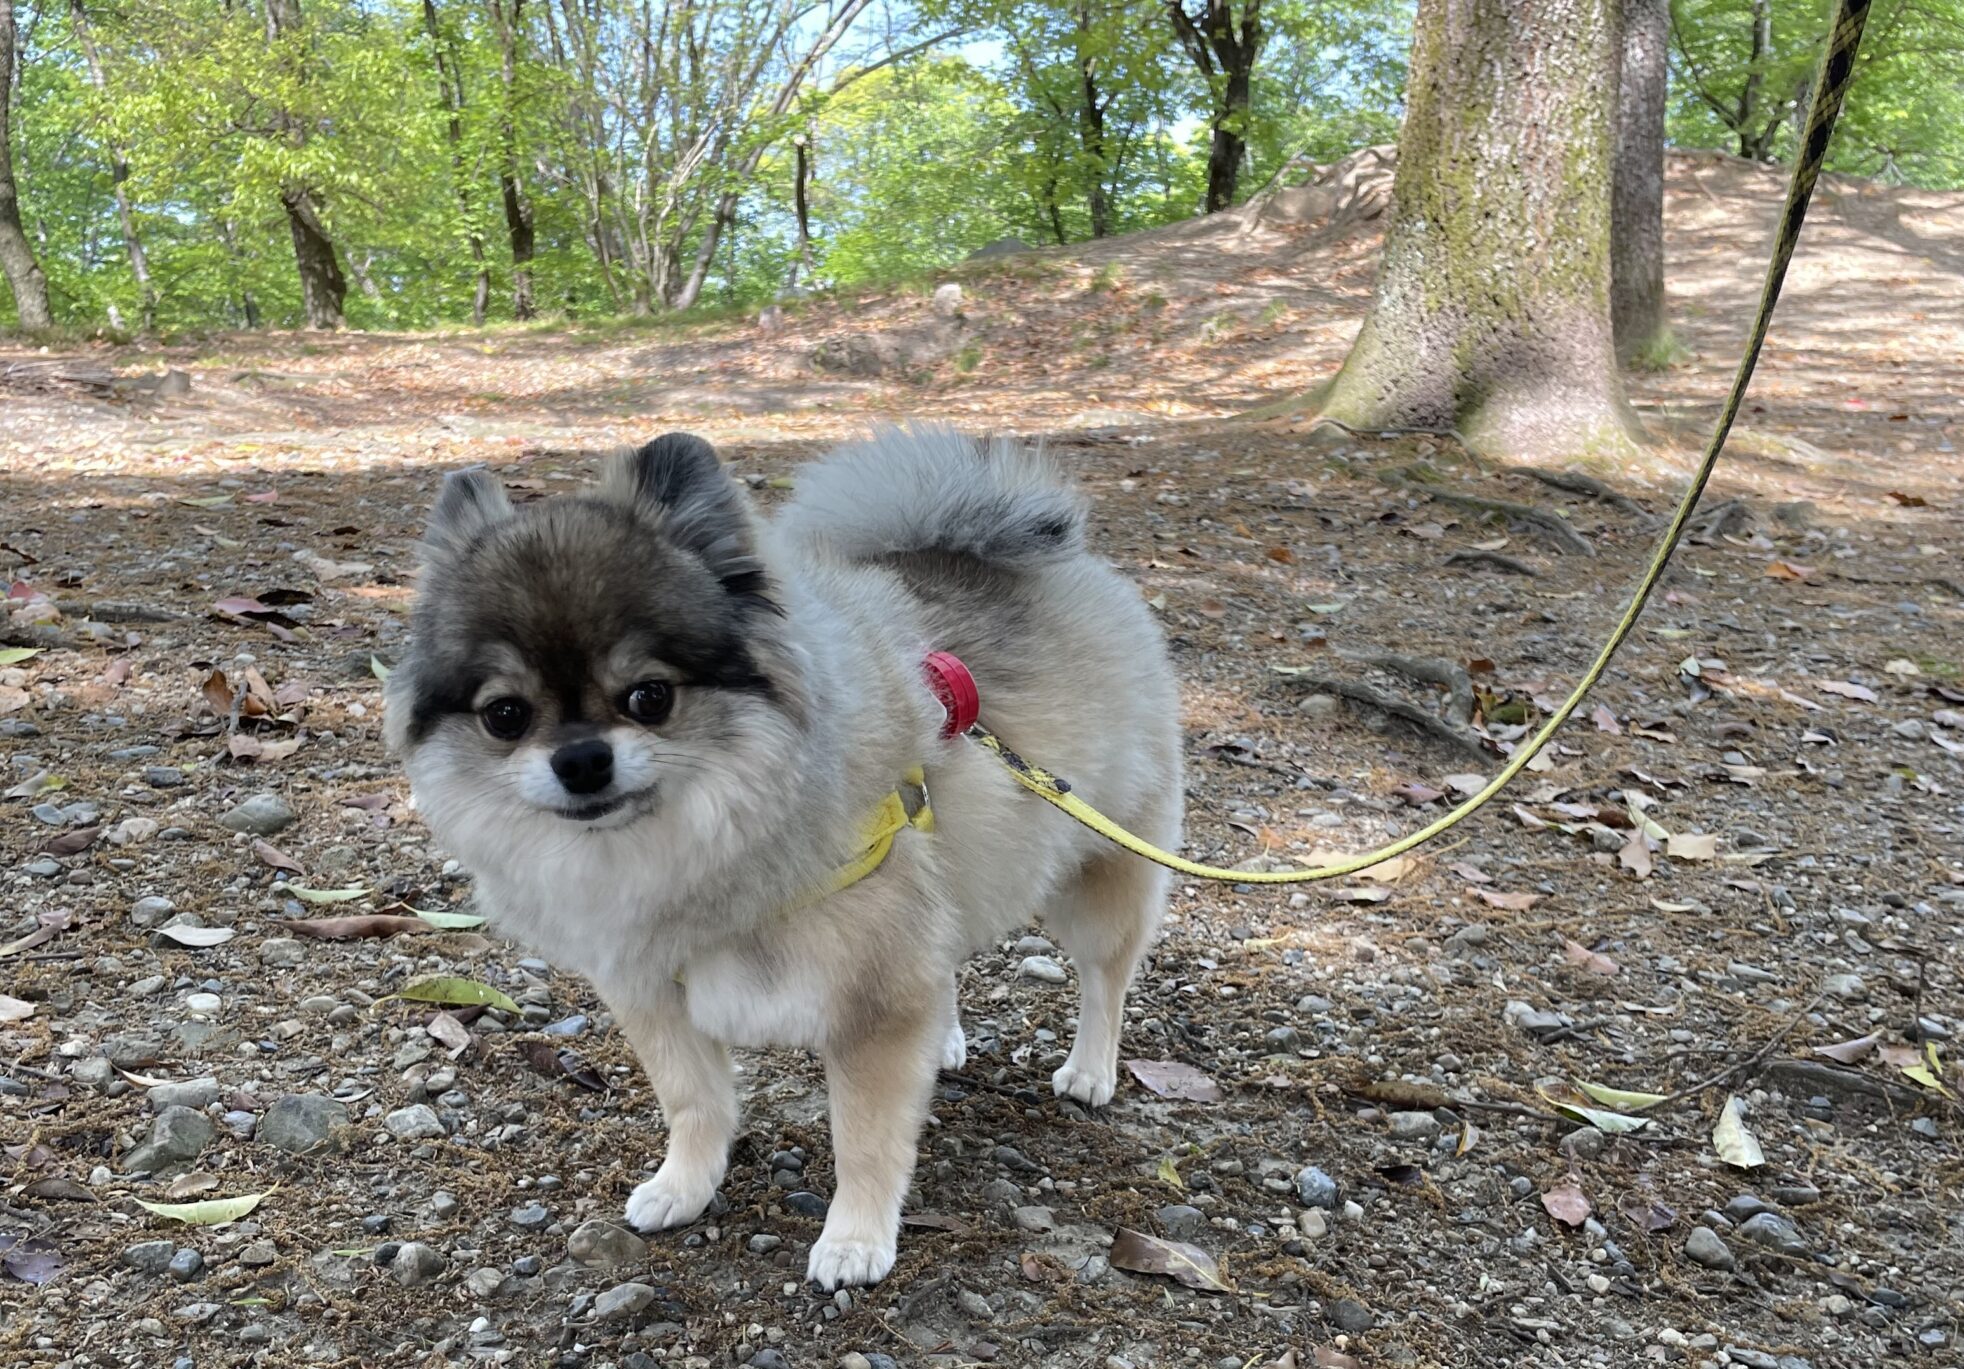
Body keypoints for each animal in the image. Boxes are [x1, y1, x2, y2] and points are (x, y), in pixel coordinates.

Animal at [390, 422, 1170, 1288]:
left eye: (649, 696)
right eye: (504, 715)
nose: (582, 759)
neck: (697, 842)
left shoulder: (874, 1003)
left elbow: (864, 1138)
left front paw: (855, 1238)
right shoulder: (655, 993)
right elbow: (695, 1104)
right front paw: (684, 1185)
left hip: (1099, 866)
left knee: (1105, 977)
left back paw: (1091, 1069)